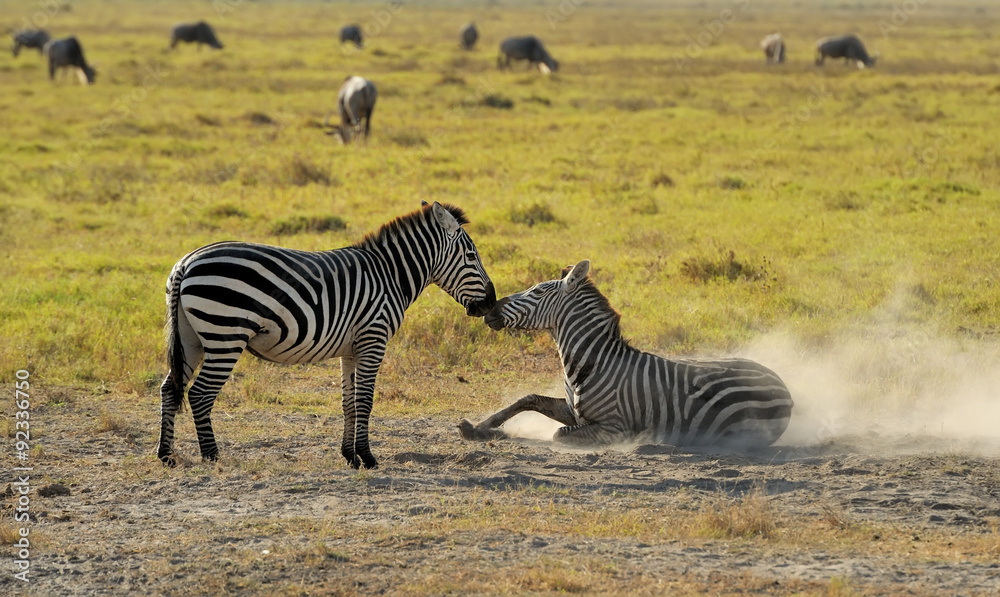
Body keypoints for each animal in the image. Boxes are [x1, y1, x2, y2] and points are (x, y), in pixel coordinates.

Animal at [159, 202, 496, 469]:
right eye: (471, 255)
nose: (491, 302)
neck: (390, 275)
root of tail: (186, 264)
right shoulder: (373, 340)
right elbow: (365, 401)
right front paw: (368, 458)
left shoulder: (351, 349)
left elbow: (349, 402)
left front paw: (350, 456)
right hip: (225, 335)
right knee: (200, 394)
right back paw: (212, 456)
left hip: (191, 339)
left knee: (169, 389)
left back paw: (166, 455)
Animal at [459, 260, 792, 449]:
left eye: (538, 292)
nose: (490, 310)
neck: (591, 363)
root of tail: (782, 385)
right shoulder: (570, 409)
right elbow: (526, 399)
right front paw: (479, 428)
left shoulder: (613, 428)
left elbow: (559, 434)